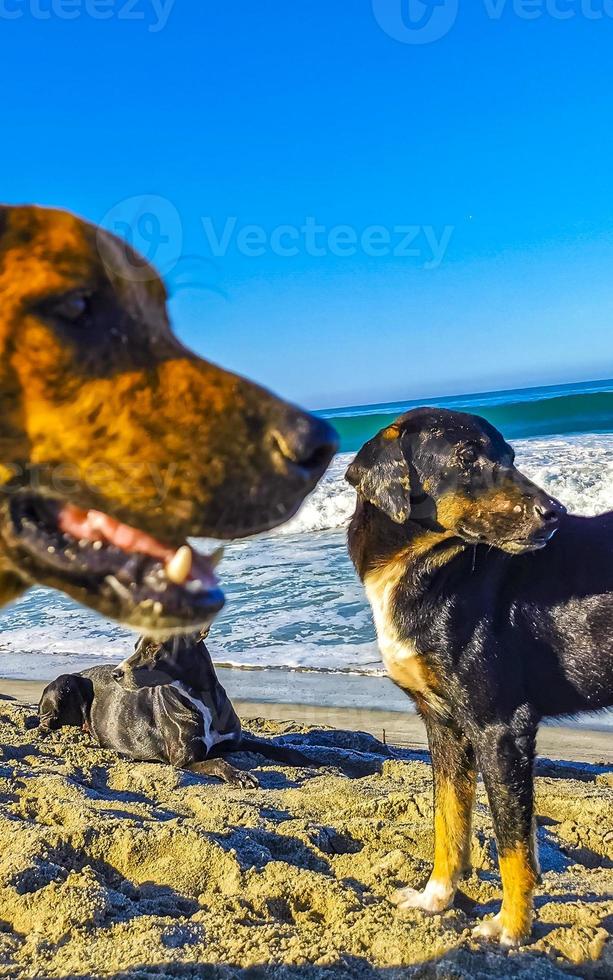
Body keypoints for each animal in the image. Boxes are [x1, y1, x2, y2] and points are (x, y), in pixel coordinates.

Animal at [39, 632, 310, 784]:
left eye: (153, 647)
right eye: (136, 646)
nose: (116, 673)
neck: (200, 698)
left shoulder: (235, 741)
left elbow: (274, 748)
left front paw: (308, 759)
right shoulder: (183, 760)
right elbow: (218, 761)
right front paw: (241, 775)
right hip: (66, 684)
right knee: (46, 722)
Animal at [346, 408, 608, 948]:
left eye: (511, 455)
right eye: (467, 457)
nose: (556, 512)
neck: (425, 568)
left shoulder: (501, 727)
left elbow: (512, 845)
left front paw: (512, 927)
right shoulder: (445, 726)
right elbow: (449, 822)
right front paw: (436, 900)